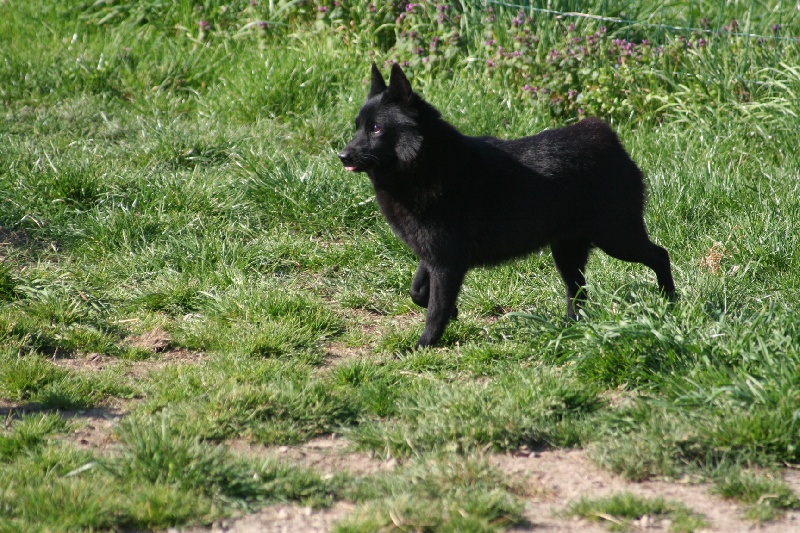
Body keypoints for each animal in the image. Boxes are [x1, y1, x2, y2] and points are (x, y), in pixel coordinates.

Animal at [338, 62, 676, 348]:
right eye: (357, 126)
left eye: (376, 128)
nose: (342, 156)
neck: (426, 162)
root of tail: (607, 137)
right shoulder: (434, 254)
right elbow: (418, 292)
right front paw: (454, 312)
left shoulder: (447, 262)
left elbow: (435, 309)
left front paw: (424, 345)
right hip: (567, 251)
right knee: (577, 291)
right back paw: (568, 328)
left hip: (616, 238)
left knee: (660, 256)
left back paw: (670, 303)